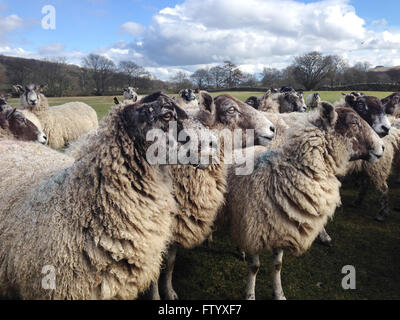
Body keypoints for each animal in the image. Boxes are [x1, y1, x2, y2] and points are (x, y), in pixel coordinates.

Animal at [225, 103, 384, 300]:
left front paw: (279, 294)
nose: (382, 146)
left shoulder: (283, 227)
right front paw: (250, 295)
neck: (284, 173)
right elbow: (254, 267)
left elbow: (277, 266)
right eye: (354, 123)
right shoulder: (254, 231)